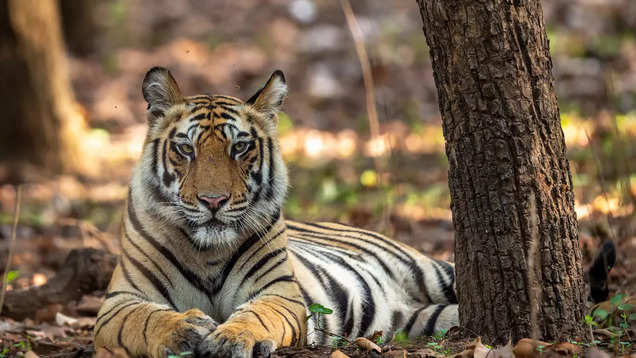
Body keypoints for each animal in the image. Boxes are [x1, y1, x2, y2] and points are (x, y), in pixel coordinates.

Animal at [95, 68, 616, 358]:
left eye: (240, 147)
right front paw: (185, 329)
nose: (213, 202)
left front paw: (230, 338)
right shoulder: (117, 302)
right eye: (185, 150)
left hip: (436, 271)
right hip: (424, 320)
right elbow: (145, 320)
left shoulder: (279, 292)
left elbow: (255, 314)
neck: (206, 250)